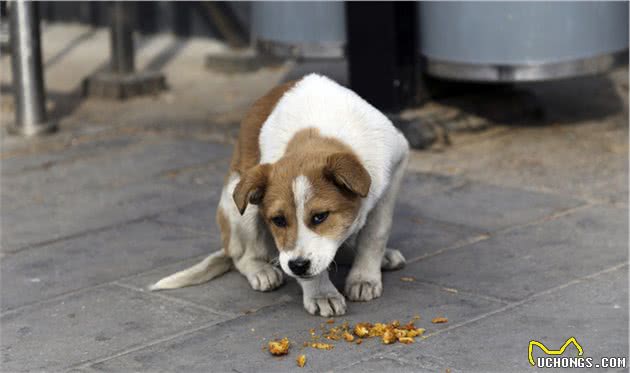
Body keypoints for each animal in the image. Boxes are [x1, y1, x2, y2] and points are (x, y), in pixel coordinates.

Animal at [152, 74, 410, 316]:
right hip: (240, 202)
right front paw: (321, 293)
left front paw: (364, 277)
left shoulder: (394, 168)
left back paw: (380, 257)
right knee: (243, 257)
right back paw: (261, 271)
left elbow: (375, 234)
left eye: (320, 217)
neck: (317, 128)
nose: (298, 266)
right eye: (278, 220)